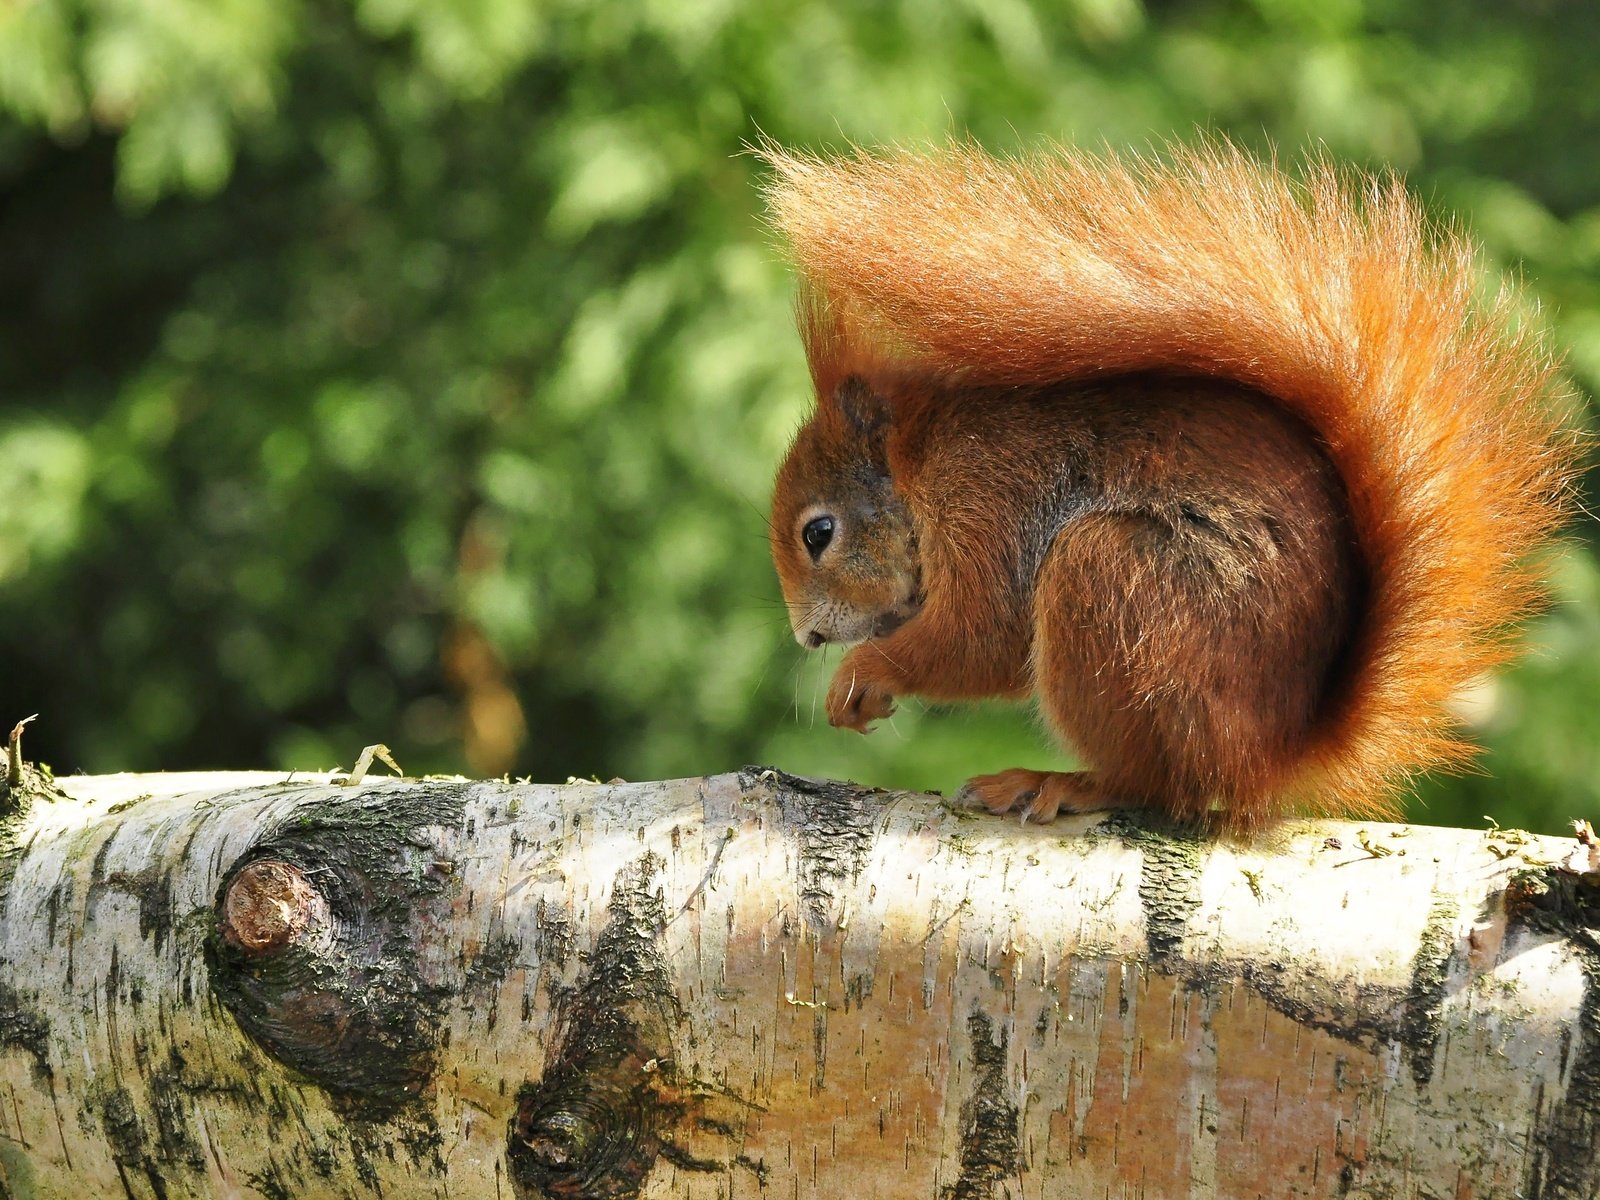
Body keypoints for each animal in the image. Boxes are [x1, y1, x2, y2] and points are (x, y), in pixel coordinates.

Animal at [761, 143, 1574, 838]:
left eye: (818, 532)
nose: (808, 639)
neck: (915, 460)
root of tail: (1273, 754)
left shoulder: (988, 495)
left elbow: (980, 639)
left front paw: (863, 674)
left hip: (1115, 583)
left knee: (1158, 785)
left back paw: (1059, 782)